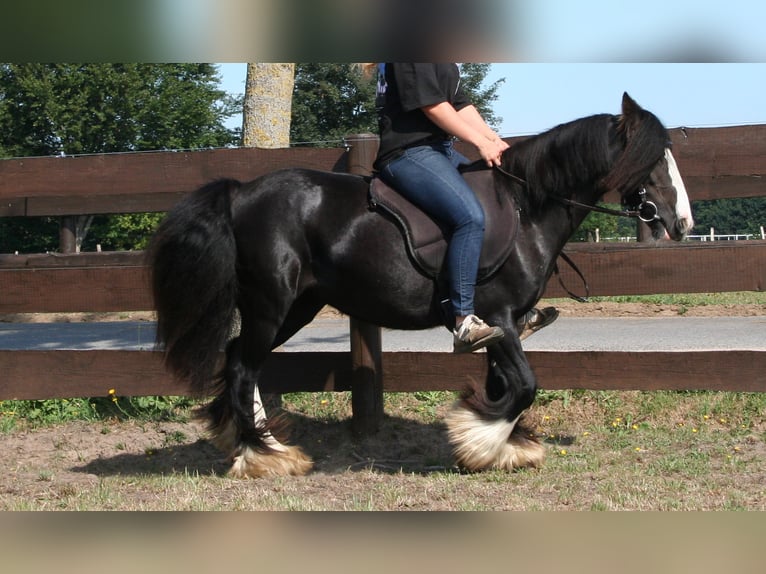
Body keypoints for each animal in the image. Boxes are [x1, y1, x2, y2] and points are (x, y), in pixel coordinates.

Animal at [148, 94, 696, 480]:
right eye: (653, 162)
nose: (683, 224)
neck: (525, 206)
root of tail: (241, 192)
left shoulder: (506, 325)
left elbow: (504, 383)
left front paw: (502, 445)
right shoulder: (498, 317)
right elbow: (524, 385)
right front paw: (480, 441)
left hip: (296, 307)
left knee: (240, 361)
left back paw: (267, 446)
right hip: (270, 305)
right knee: (242, 366)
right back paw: (261, 454)